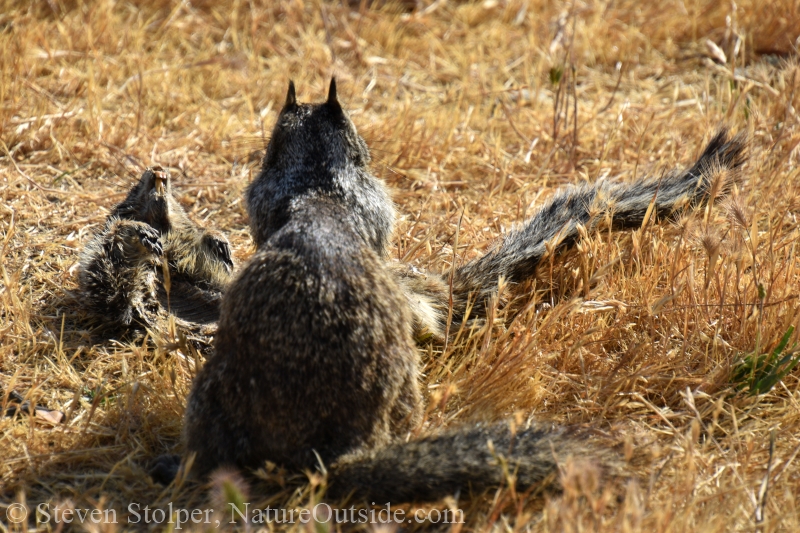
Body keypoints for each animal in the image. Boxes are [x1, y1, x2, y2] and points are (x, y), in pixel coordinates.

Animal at [77, 168, 233, 330]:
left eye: (174, 195)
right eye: (134, 188)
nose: (157, 168)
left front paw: (220, 244)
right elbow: (107, 288)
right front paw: (140, 231)